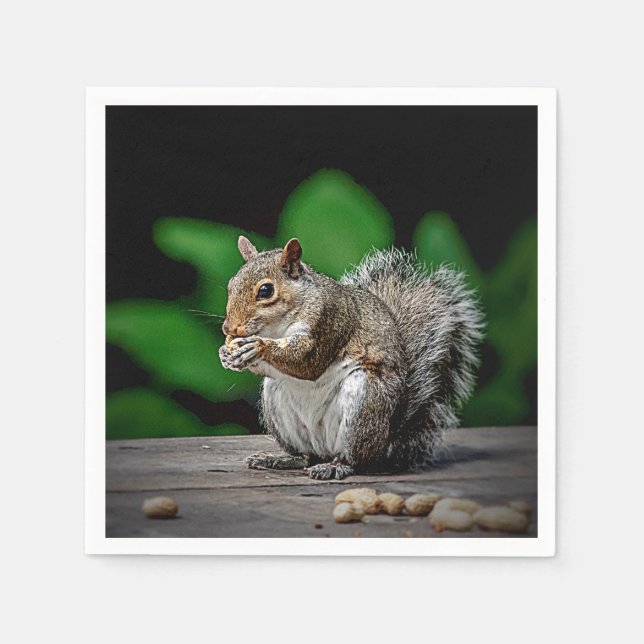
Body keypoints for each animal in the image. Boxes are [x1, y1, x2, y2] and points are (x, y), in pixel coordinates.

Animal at [219, 236, 484, 480]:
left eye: (266, 290)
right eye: (231, 285)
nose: (228, 328)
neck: (277, 328)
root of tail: (386, 440)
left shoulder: (329, 320)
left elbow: (307, 362)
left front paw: (257, 347)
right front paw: (226, 354)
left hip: (363, 404)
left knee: (354, 459)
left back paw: (335, 466)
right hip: (278, 402)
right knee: (305, 456)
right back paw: (280, 460)